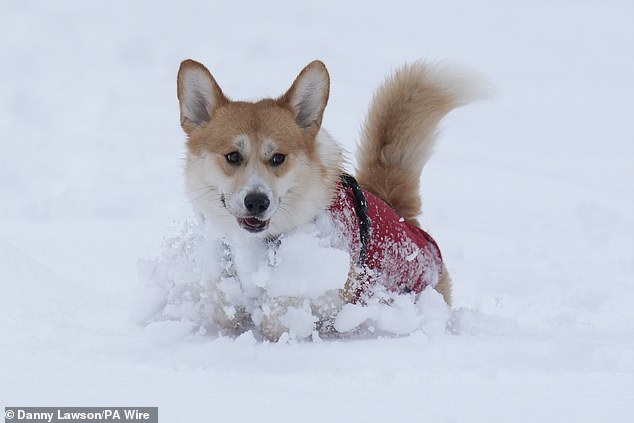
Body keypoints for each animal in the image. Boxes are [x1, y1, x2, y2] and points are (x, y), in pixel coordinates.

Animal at [175, 59, 472, 340]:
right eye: (233, 156)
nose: (257, 202)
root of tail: (400, 213)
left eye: (278, 158)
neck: (257, 244)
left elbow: (280, 315)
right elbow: (222, 306)